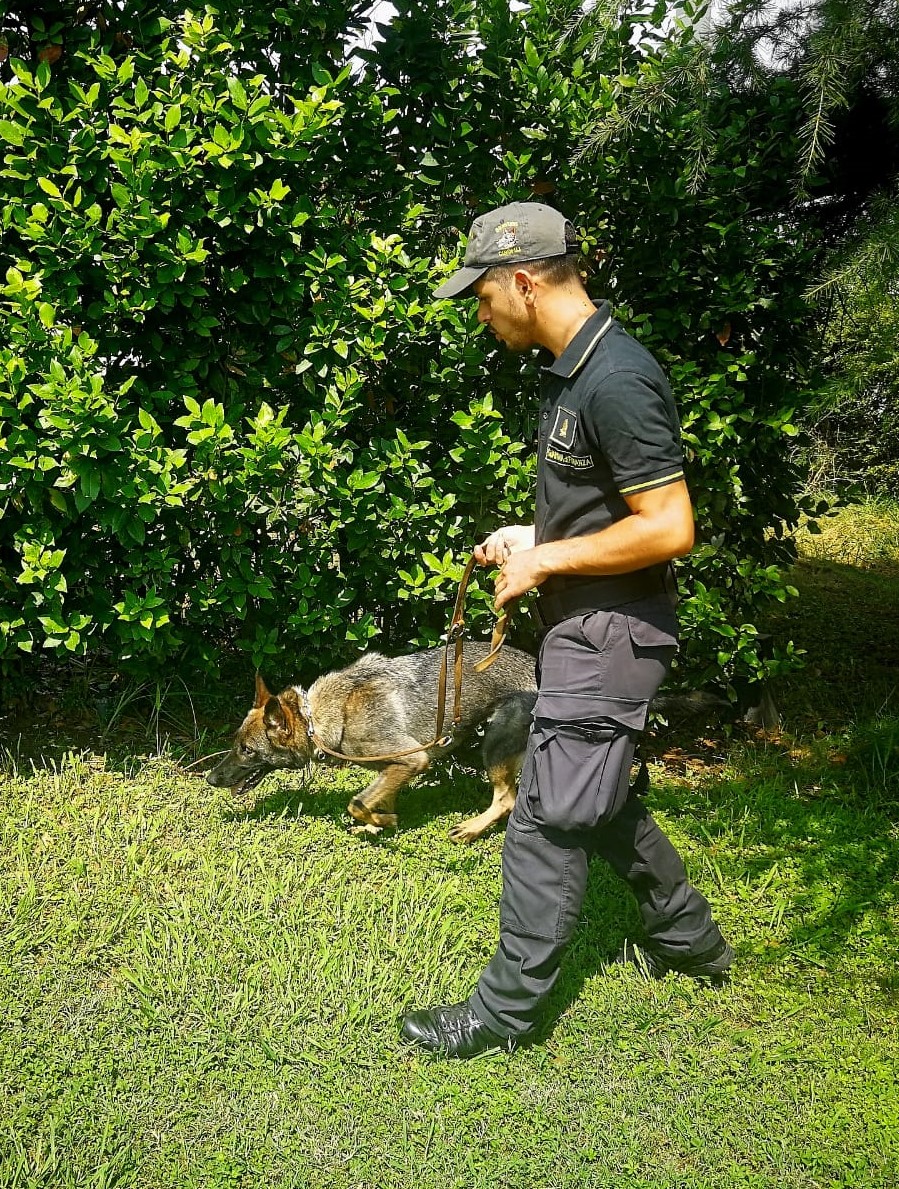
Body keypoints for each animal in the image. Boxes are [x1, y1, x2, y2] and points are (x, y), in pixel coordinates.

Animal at [206, 642, 537, 846]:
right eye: (236, 743)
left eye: (247, 750)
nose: (209, 778)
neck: (318, 719)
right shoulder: (394, 768)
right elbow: (375, 799)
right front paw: (378, 825)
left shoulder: (412, 760)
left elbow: (356, 803)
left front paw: (383, 821)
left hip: (494, 746)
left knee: (506, 799)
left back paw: (470, 829)